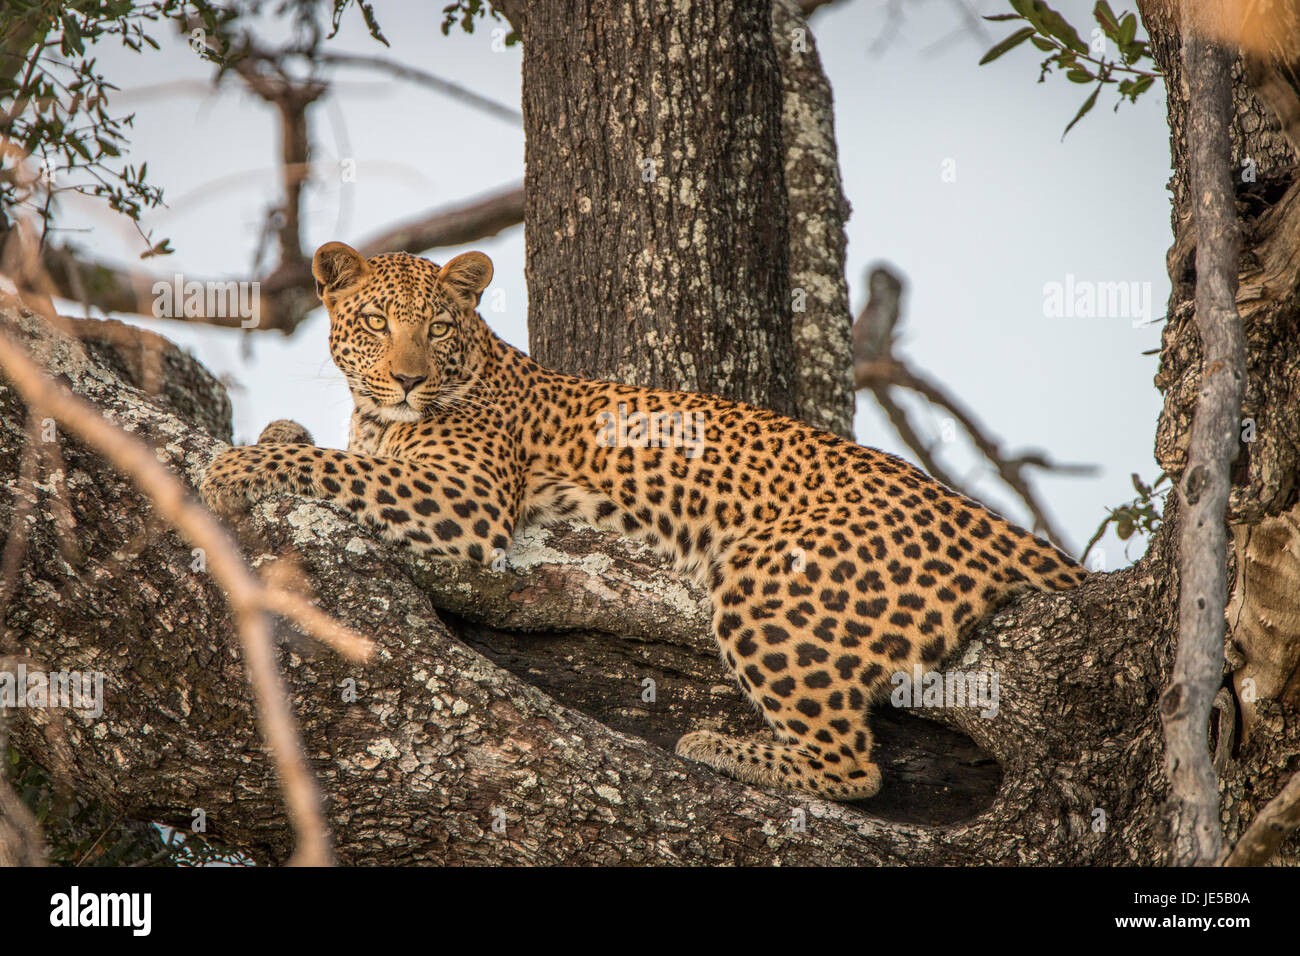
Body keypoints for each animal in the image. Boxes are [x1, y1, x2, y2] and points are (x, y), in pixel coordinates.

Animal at [199, 240, 1089, 801]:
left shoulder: (463, 497)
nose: (410, 379)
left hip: (772, 580)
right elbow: (332, 450)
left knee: (852, 769)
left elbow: (338, 468)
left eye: (438, 327)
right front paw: (276, 432)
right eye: (377, 322)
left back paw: (722, 748)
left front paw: (232, 469)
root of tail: (992, 523)